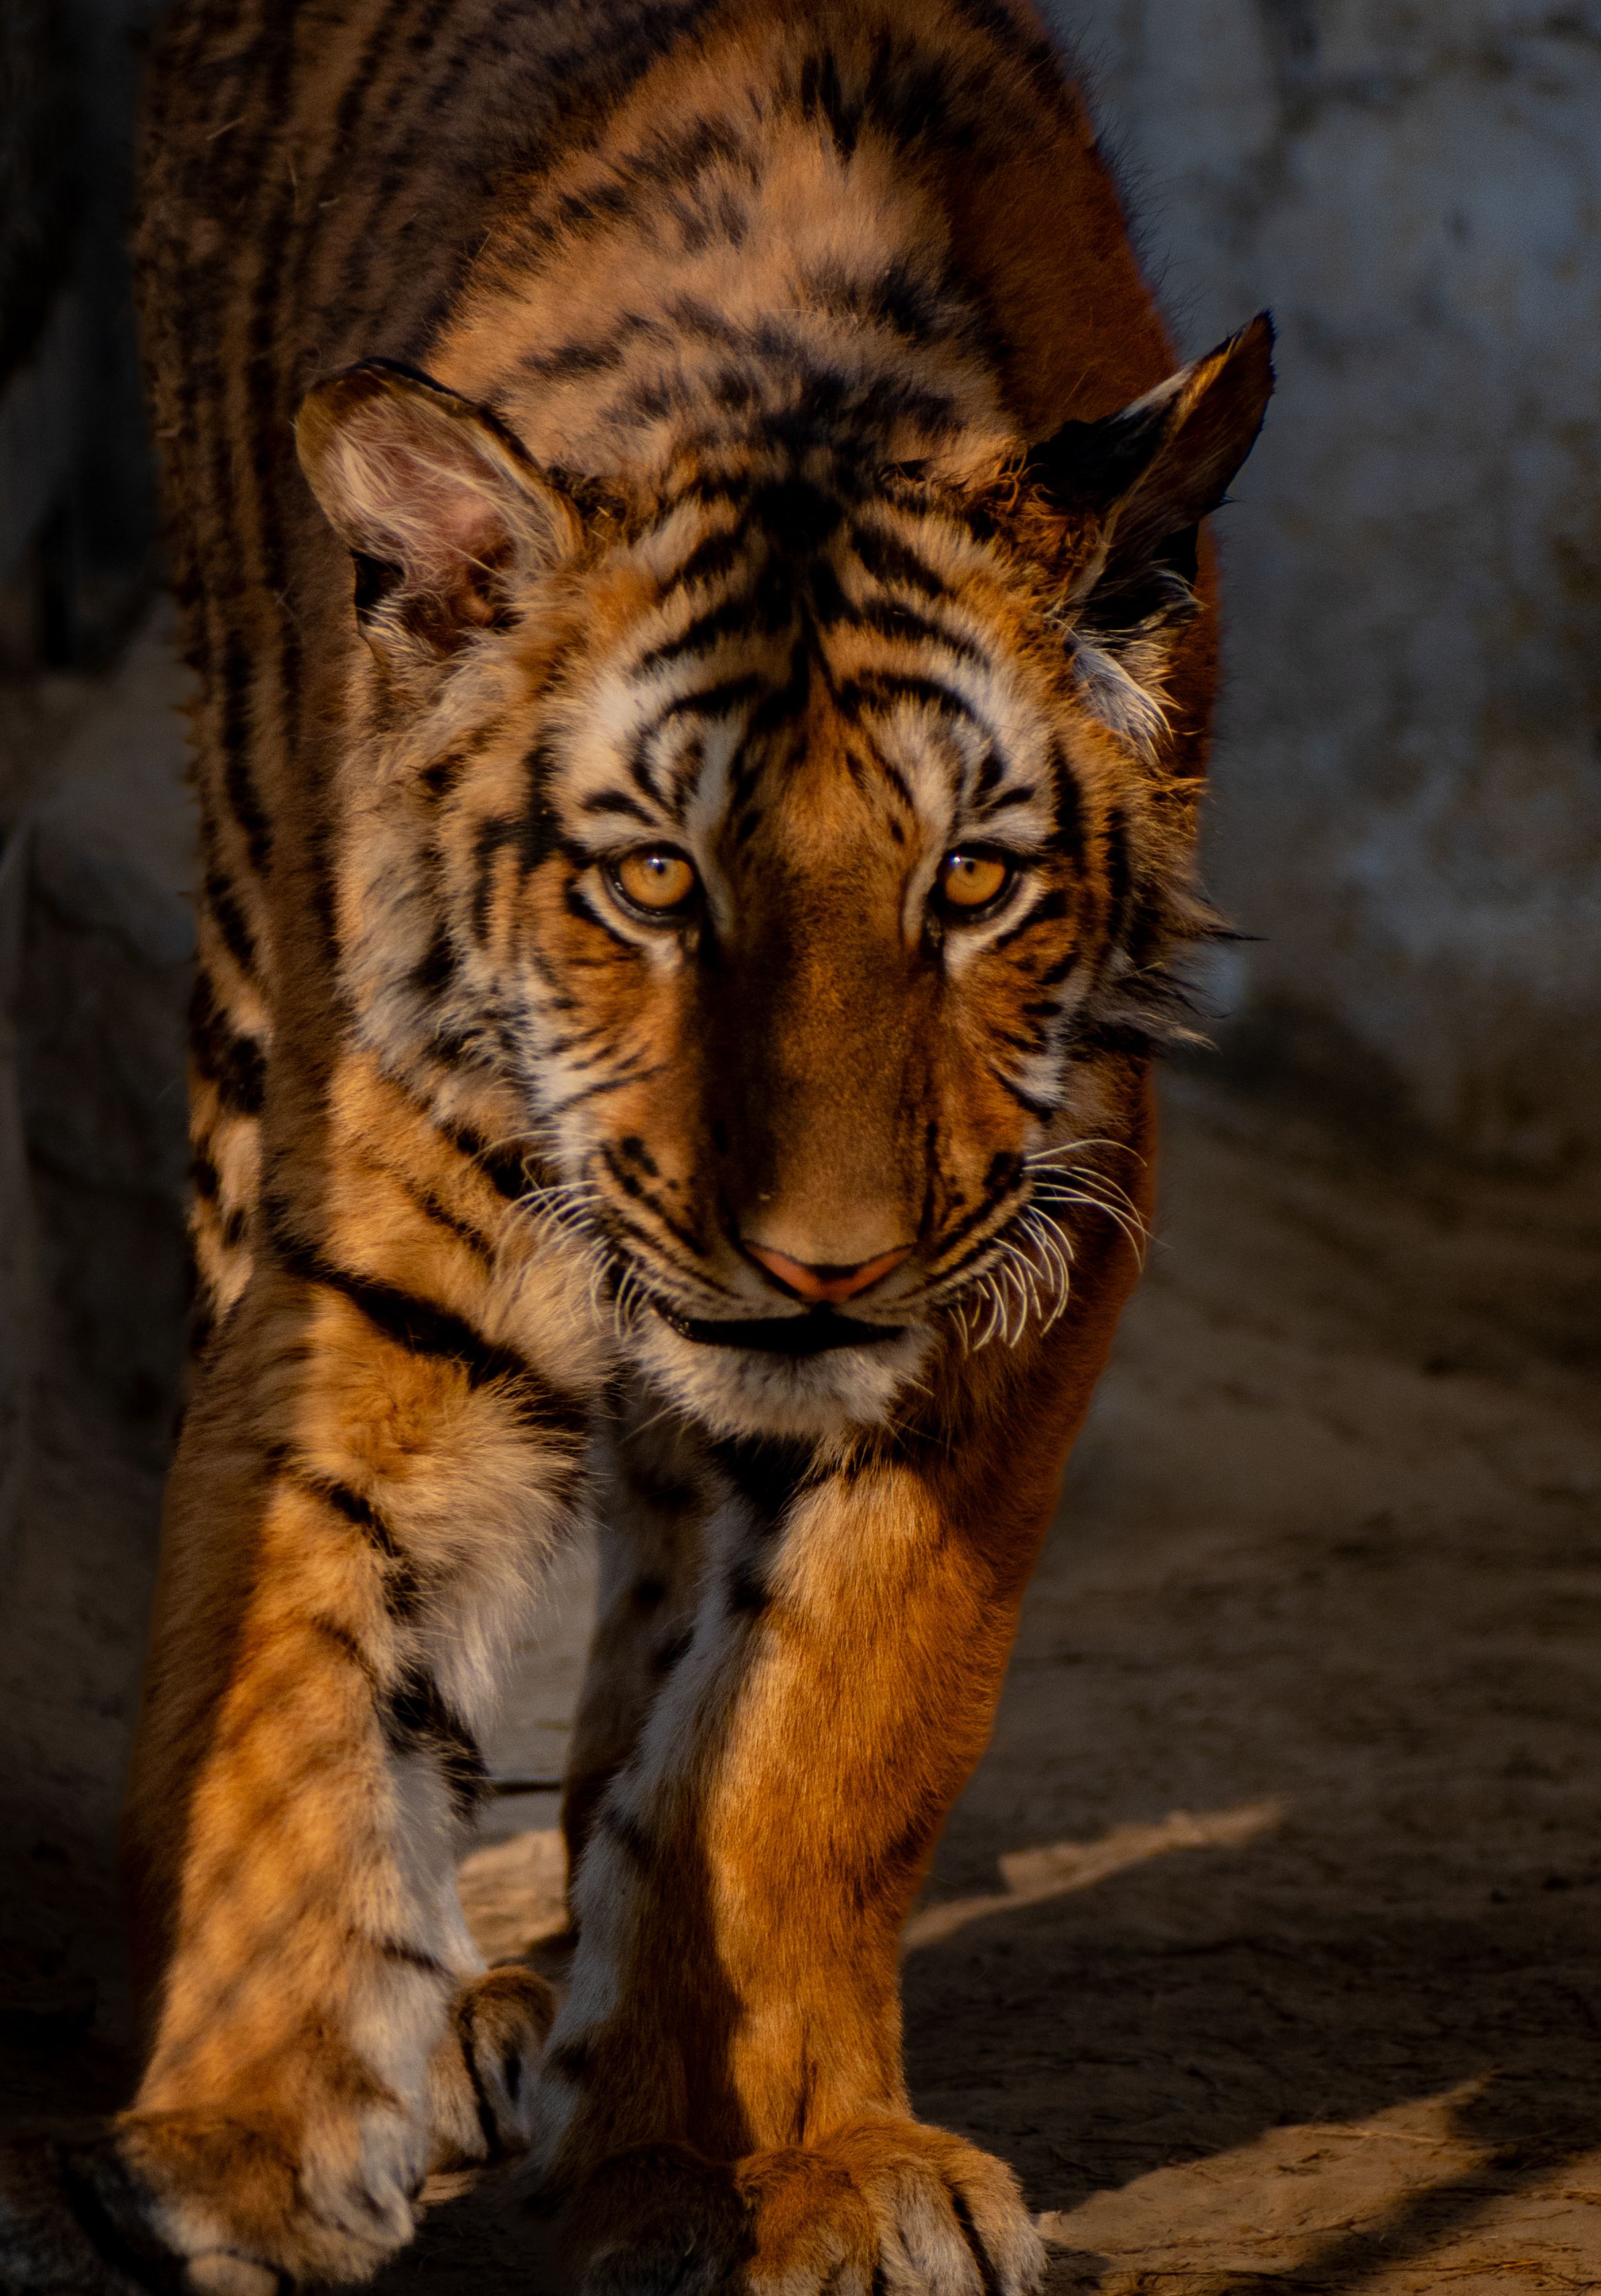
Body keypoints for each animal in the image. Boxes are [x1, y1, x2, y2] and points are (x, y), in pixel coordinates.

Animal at [0, 1, 1272, 2291]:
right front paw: (231, 2148)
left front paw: (781, 2159)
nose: (823, 1261)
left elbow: (802, 1746)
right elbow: (281, 1688)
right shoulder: (365, 1296)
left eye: (970, 881)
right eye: (656, 879)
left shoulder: (1014, 1291)